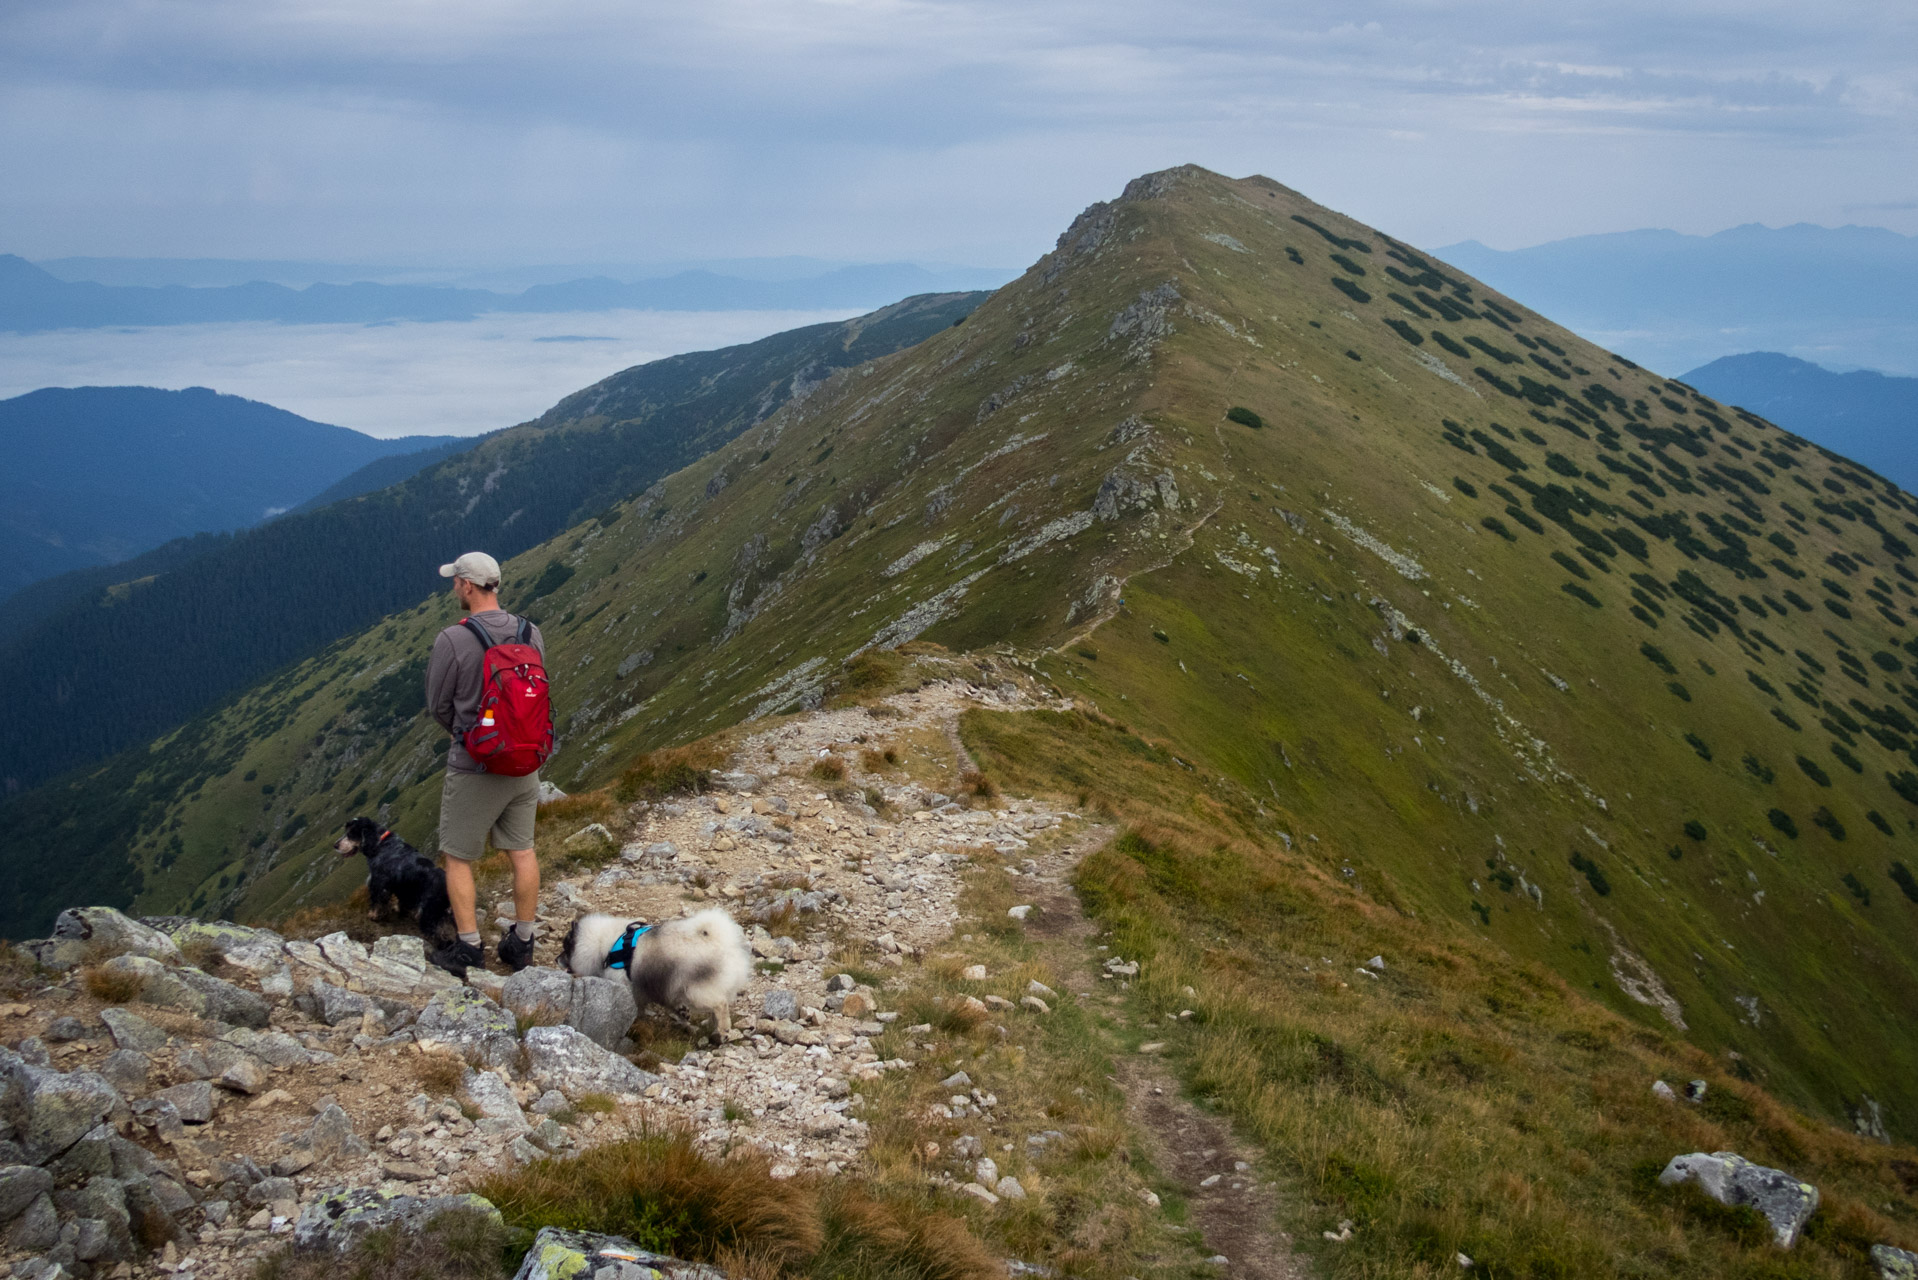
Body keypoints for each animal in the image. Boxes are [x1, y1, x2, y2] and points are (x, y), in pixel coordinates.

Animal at [560, 909, 751, 1043]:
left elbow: (638, 1008)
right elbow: (674, 1008)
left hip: (695, 992)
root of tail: (722, 941)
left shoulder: (629, 985)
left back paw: (723, 1033)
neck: (604, 946)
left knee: (720, 1005)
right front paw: (683, 1018)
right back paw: (711, 1026)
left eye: (565, 949)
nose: (556, 959)